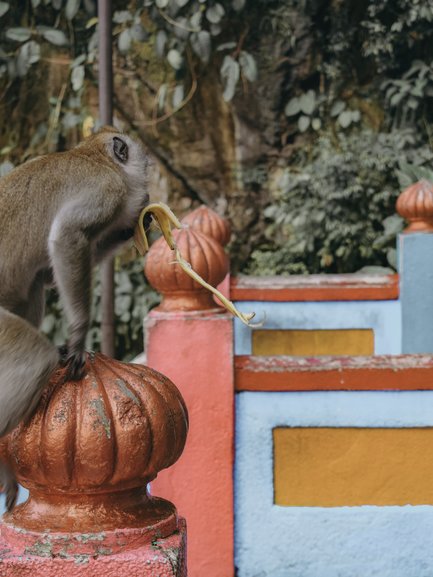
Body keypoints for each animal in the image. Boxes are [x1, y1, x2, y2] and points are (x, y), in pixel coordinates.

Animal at [0, 126, 150, 508]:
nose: (149, 188)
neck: (92, 154)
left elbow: (49, 277)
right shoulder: (107, 189)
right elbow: (67, 236)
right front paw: (79, 336)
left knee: (33, 285)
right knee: (33, 359)